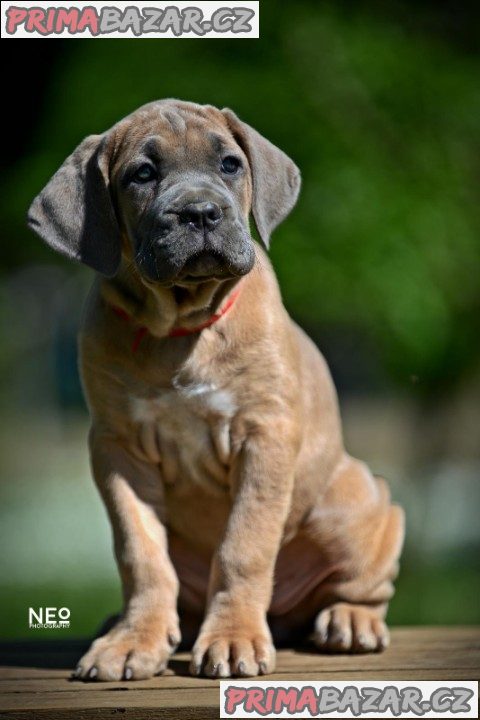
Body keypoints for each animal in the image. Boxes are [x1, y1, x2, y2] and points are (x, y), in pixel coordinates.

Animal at [29, 101, 404, 680]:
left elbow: (242, 546)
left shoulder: (263, 435)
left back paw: (350, 620)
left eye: (230, 164)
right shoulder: (118, 449)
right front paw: (134, 641)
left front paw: (232, 639)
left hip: (357, 502)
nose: (201, 213)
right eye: (142, 174)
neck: (180, 329)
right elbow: (140, 551)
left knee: (364, 580)